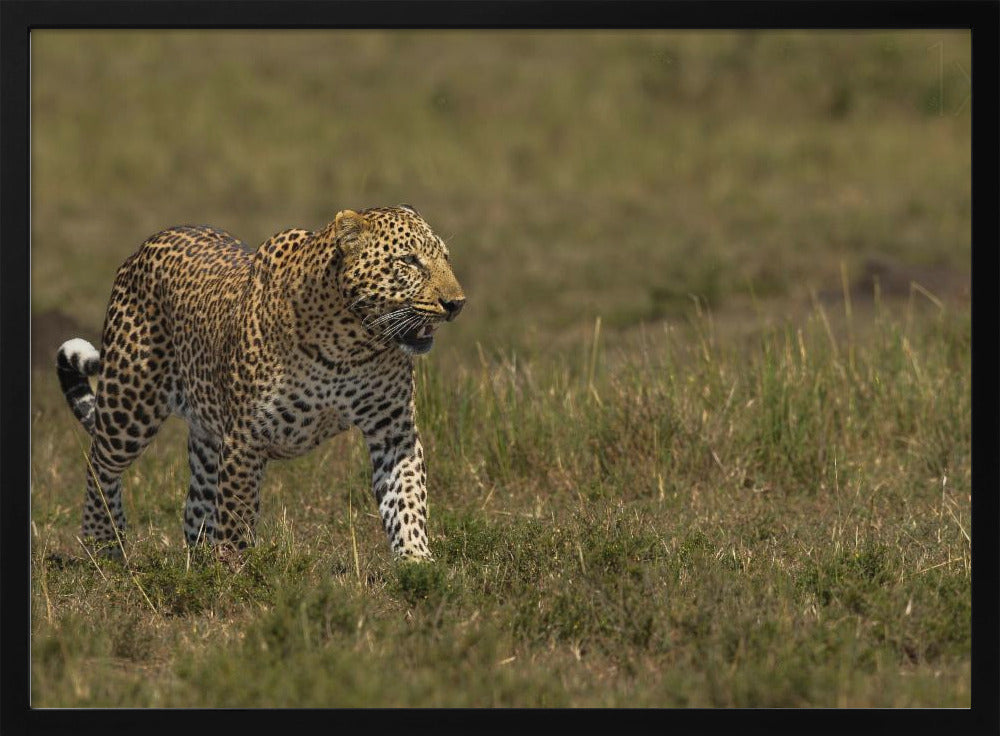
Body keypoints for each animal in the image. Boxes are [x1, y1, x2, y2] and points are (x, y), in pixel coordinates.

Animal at [56, 205, 465, 563]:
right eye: (409, 261)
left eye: (446, 258)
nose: (456, 303)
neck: (350, 343)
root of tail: (143, 247)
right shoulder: (246, 440)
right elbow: (237, 516)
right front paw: (237, 576)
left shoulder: (393, 431)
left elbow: (406, 497)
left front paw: (416, 562)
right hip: (130, 404)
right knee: (100, 464)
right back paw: (104, 546)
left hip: (207, 433)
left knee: (194, 507)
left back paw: (198, 563)